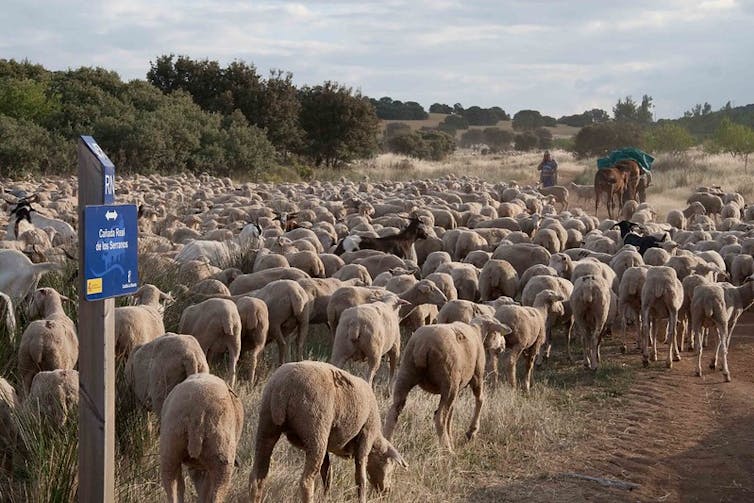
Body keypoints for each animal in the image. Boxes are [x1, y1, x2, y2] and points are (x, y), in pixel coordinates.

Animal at [247, 362, 406, 503]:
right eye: (389, 465)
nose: (387, 492)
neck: (376, 440)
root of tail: (283, 388)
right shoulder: (366, 437)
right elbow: (360, 477)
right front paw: (362, 499)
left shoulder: (328, 444)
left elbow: (327, 473)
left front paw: (326, 497)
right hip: (316, 431)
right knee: (306, 481)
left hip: (267, 426)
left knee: (257, 476)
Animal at [382, 316, 512, 450]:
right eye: (498, 333)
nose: (503, 346)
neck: (478, 332)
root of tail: (423, 345)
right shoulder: (477, 374)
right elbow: (480, 399)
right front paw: (471, 432)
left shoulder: (458, 388)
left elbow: (451, 412)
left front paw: (451, 437)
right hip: (449, 381)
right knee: (439, 418)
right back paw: (447, 449)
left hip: (406, 374)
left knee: (394, 412)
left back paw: (387, 443)